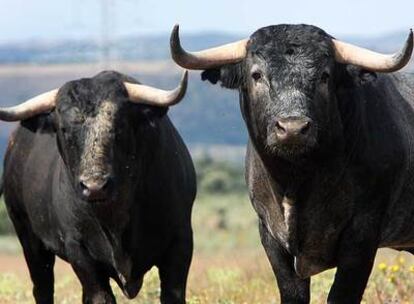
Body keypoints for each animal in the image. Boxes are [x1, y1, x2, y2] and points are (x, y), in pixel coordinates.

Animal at [0, 72, 197, 304]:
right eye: (64, 129)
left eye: (119, 125)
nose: (95, 187)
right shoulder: (80, 252)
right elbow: (100, 296)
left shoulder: (180, 242)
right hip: (29, 239)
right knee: (42, 288)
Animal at [170, 24, 414, 304]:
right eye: (256, 75)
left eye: (325, 76)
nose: (293, 128)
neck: (297, 181)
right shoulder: (271, 235)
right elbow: (292, 292)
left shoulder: (362, 234)